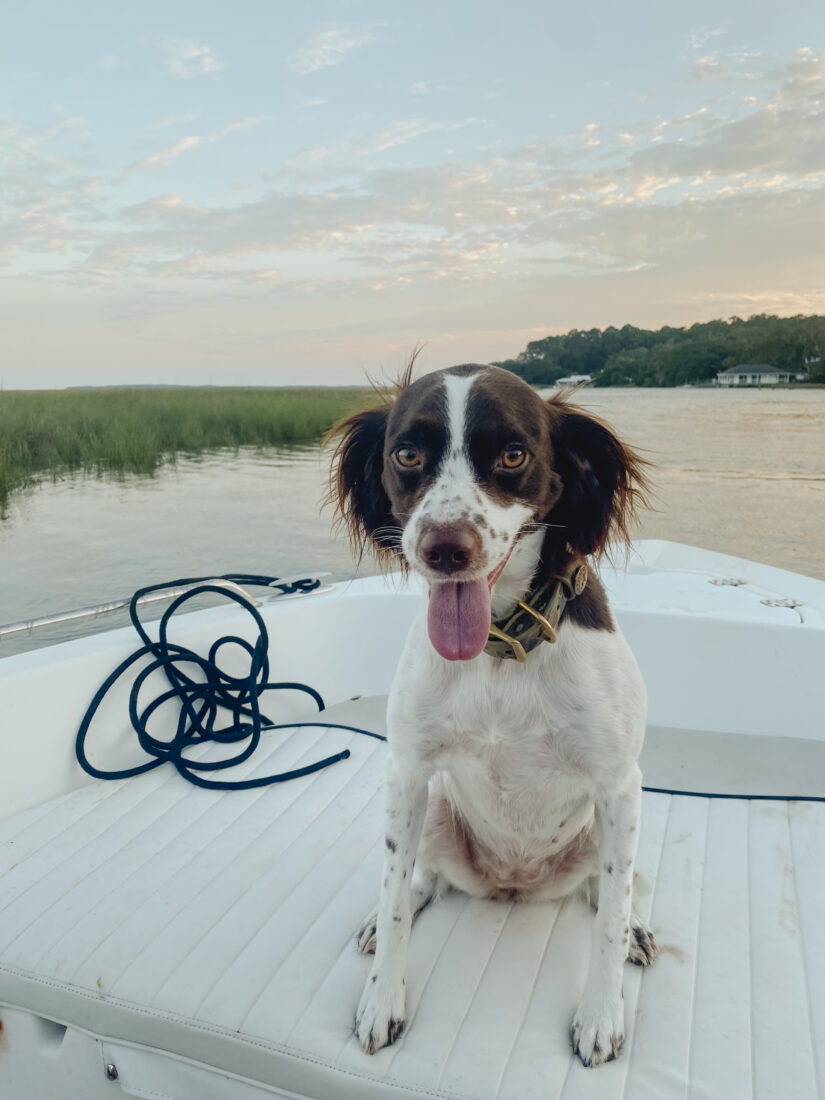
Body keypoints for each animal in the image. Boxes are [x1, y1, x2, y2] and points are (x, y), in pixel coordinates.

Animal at [330, 360, 660, 1064]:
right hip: (432, 810)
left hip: (608, 824)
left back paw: (637, 932)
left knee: (605, 891)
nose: (444, 548)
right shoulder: (406, 772)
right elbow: (395, 895)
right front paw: (381, 999)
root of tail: (514, 885)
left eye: (512, 455)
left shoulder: (620, 784)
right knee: (423, 879)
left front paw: (601, 1014)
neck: (500, 647)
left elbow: (609, 919)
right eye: (407, 454)